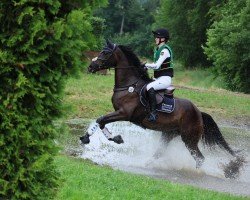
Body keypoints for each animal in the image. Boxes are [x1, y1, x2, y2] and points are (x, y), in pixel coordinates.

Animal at [81, 39, 237, 168]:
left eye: (105, 53)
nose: (91, 66)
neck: (129, 85)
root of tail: (198, 112)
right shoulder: (119, 113)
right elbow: (100, 121)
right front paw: (95, 138)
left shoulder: (124, 113)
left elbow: (101, 120)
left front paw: (106, 138)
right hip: (169, 134)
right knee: (160, 152)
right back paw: (145, 164)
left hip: (189, 139)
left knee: (199, 158)